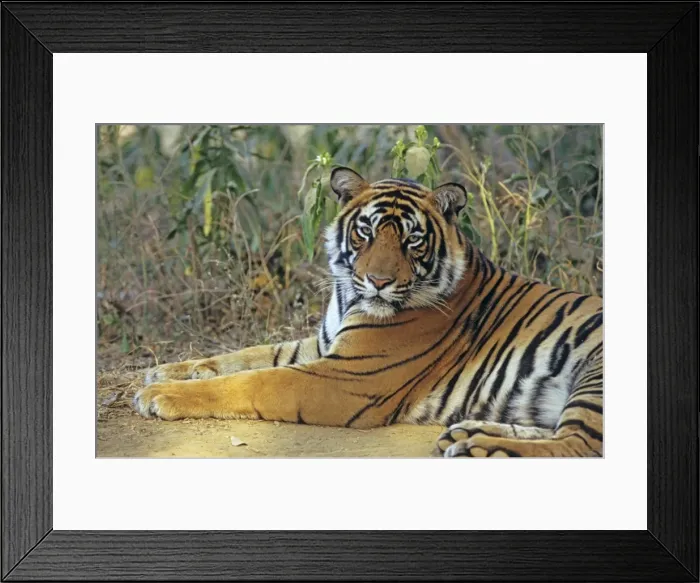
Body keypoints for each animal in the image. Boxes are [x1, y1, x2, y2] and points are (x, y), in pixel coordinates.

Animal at [134, 166, 603, 457]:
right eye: (367, 232)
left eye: (412, 240)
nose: (378, 281)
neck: (349, 297)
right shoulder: (324, 344)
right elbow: (246, 356)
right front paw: (165, 371)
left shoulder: (348, 377)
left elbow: (253, 380)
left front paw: (159, 395)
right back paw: (470, 431)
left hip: (594, 374)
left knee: (579, 444)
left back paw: (478, 447)